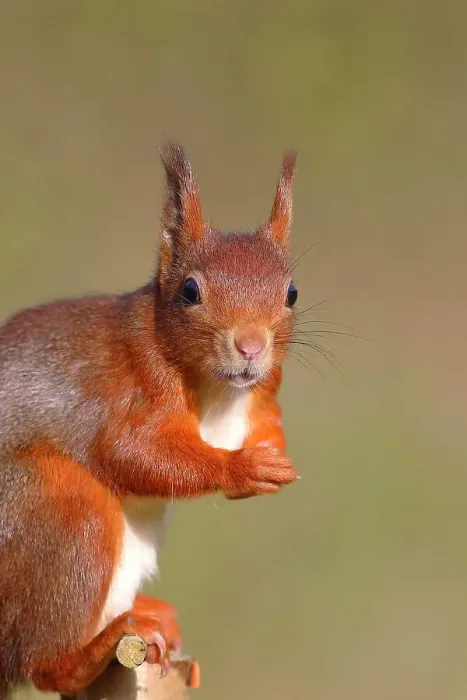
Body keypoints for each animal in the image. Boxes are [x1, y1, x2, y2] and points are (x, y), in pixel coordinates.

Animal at [0, 142, 299, 698]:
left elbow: (268, 418)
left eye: (291, 293)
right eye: (189, 291)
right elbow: (131, 455)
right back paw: (92, 647)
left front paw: (274, 454)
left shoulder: (265, 392)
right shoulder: (132, 391)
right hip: (56, 508)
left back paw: (150, 614)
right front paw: (244, 469)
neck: (221, 391)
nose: (250, 346)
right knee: (39, 663)